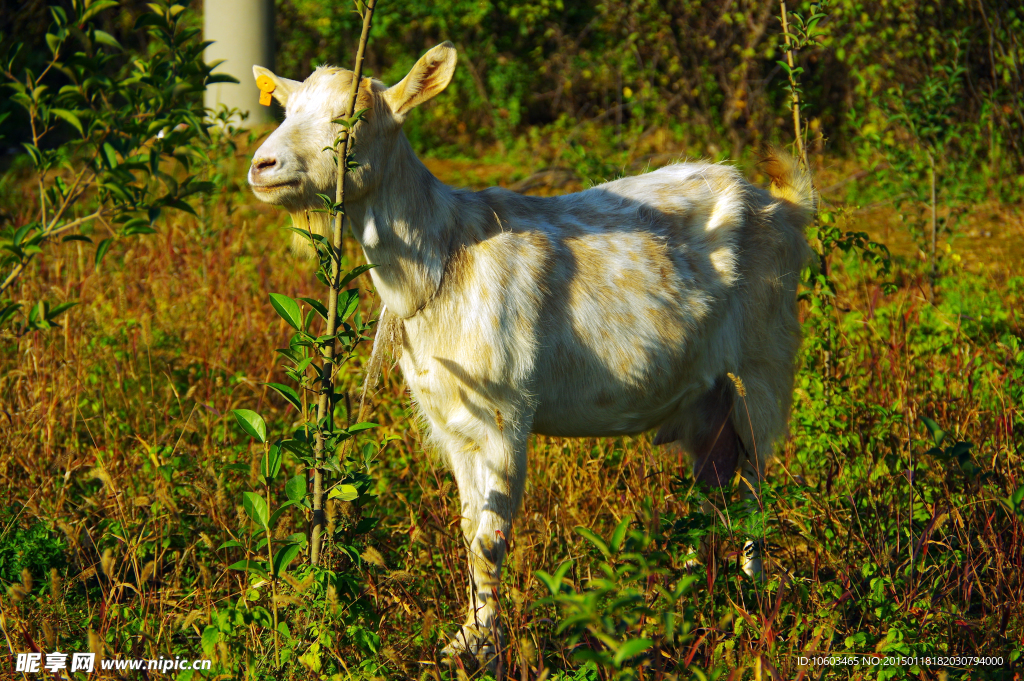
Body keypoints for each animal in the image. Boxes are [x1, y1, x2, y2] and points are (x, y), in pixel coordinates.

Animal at [247, 43, 815, 667]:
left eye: (353, 118)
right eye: (285, 109)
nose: (263, 166)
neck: (444, 258)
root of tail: (785, 207)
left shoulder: (505, 416)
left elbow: (489, 541)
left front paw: (486, 650)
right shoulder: (452, 423)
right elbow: (467, 527)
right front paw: (463, 639)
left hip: (763, 370)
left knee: (756, 484)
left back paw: (757, 598)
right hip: (703, 400)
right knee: (712, 485)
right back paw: (692, 595)